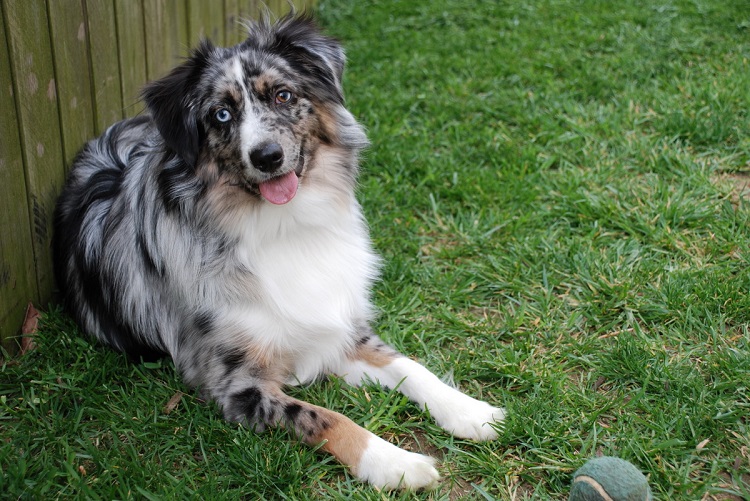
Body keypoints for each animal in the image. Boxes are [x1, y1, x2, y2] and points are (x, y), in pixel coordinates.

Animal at [54, 13, 506, 486]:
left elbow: (409, 366)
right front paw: (394, 463)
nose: (267, 156)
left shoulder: (336, 330)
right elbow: (326, 417)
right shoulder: (236, 385)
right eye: (221, 114)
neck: (284, 226)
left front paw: (468, 410)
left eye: (283, 95)